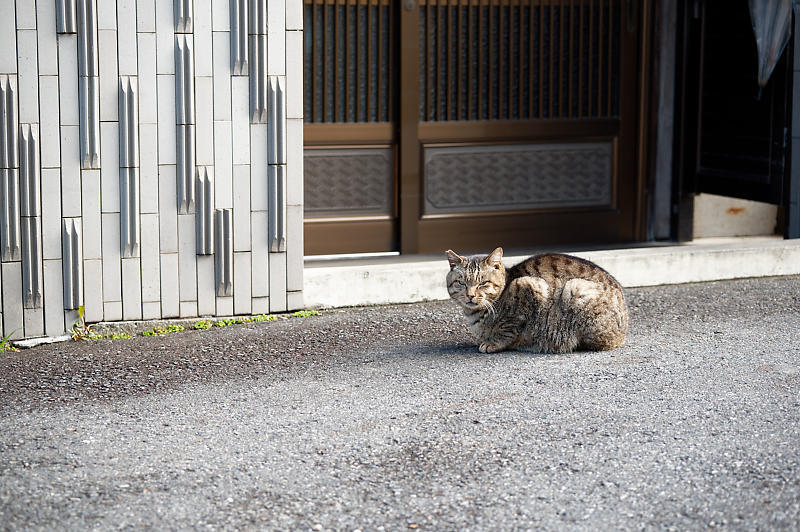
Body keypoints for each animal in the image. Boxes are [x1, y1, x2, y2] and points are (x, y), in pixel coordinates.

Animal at [446, 248, 628, 354]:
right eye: (461, 283)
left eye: (483, 283)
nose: (470, 295)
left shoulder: (528, 288)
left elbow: (507, 329)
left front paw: (492, 343)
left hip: (575, 288)